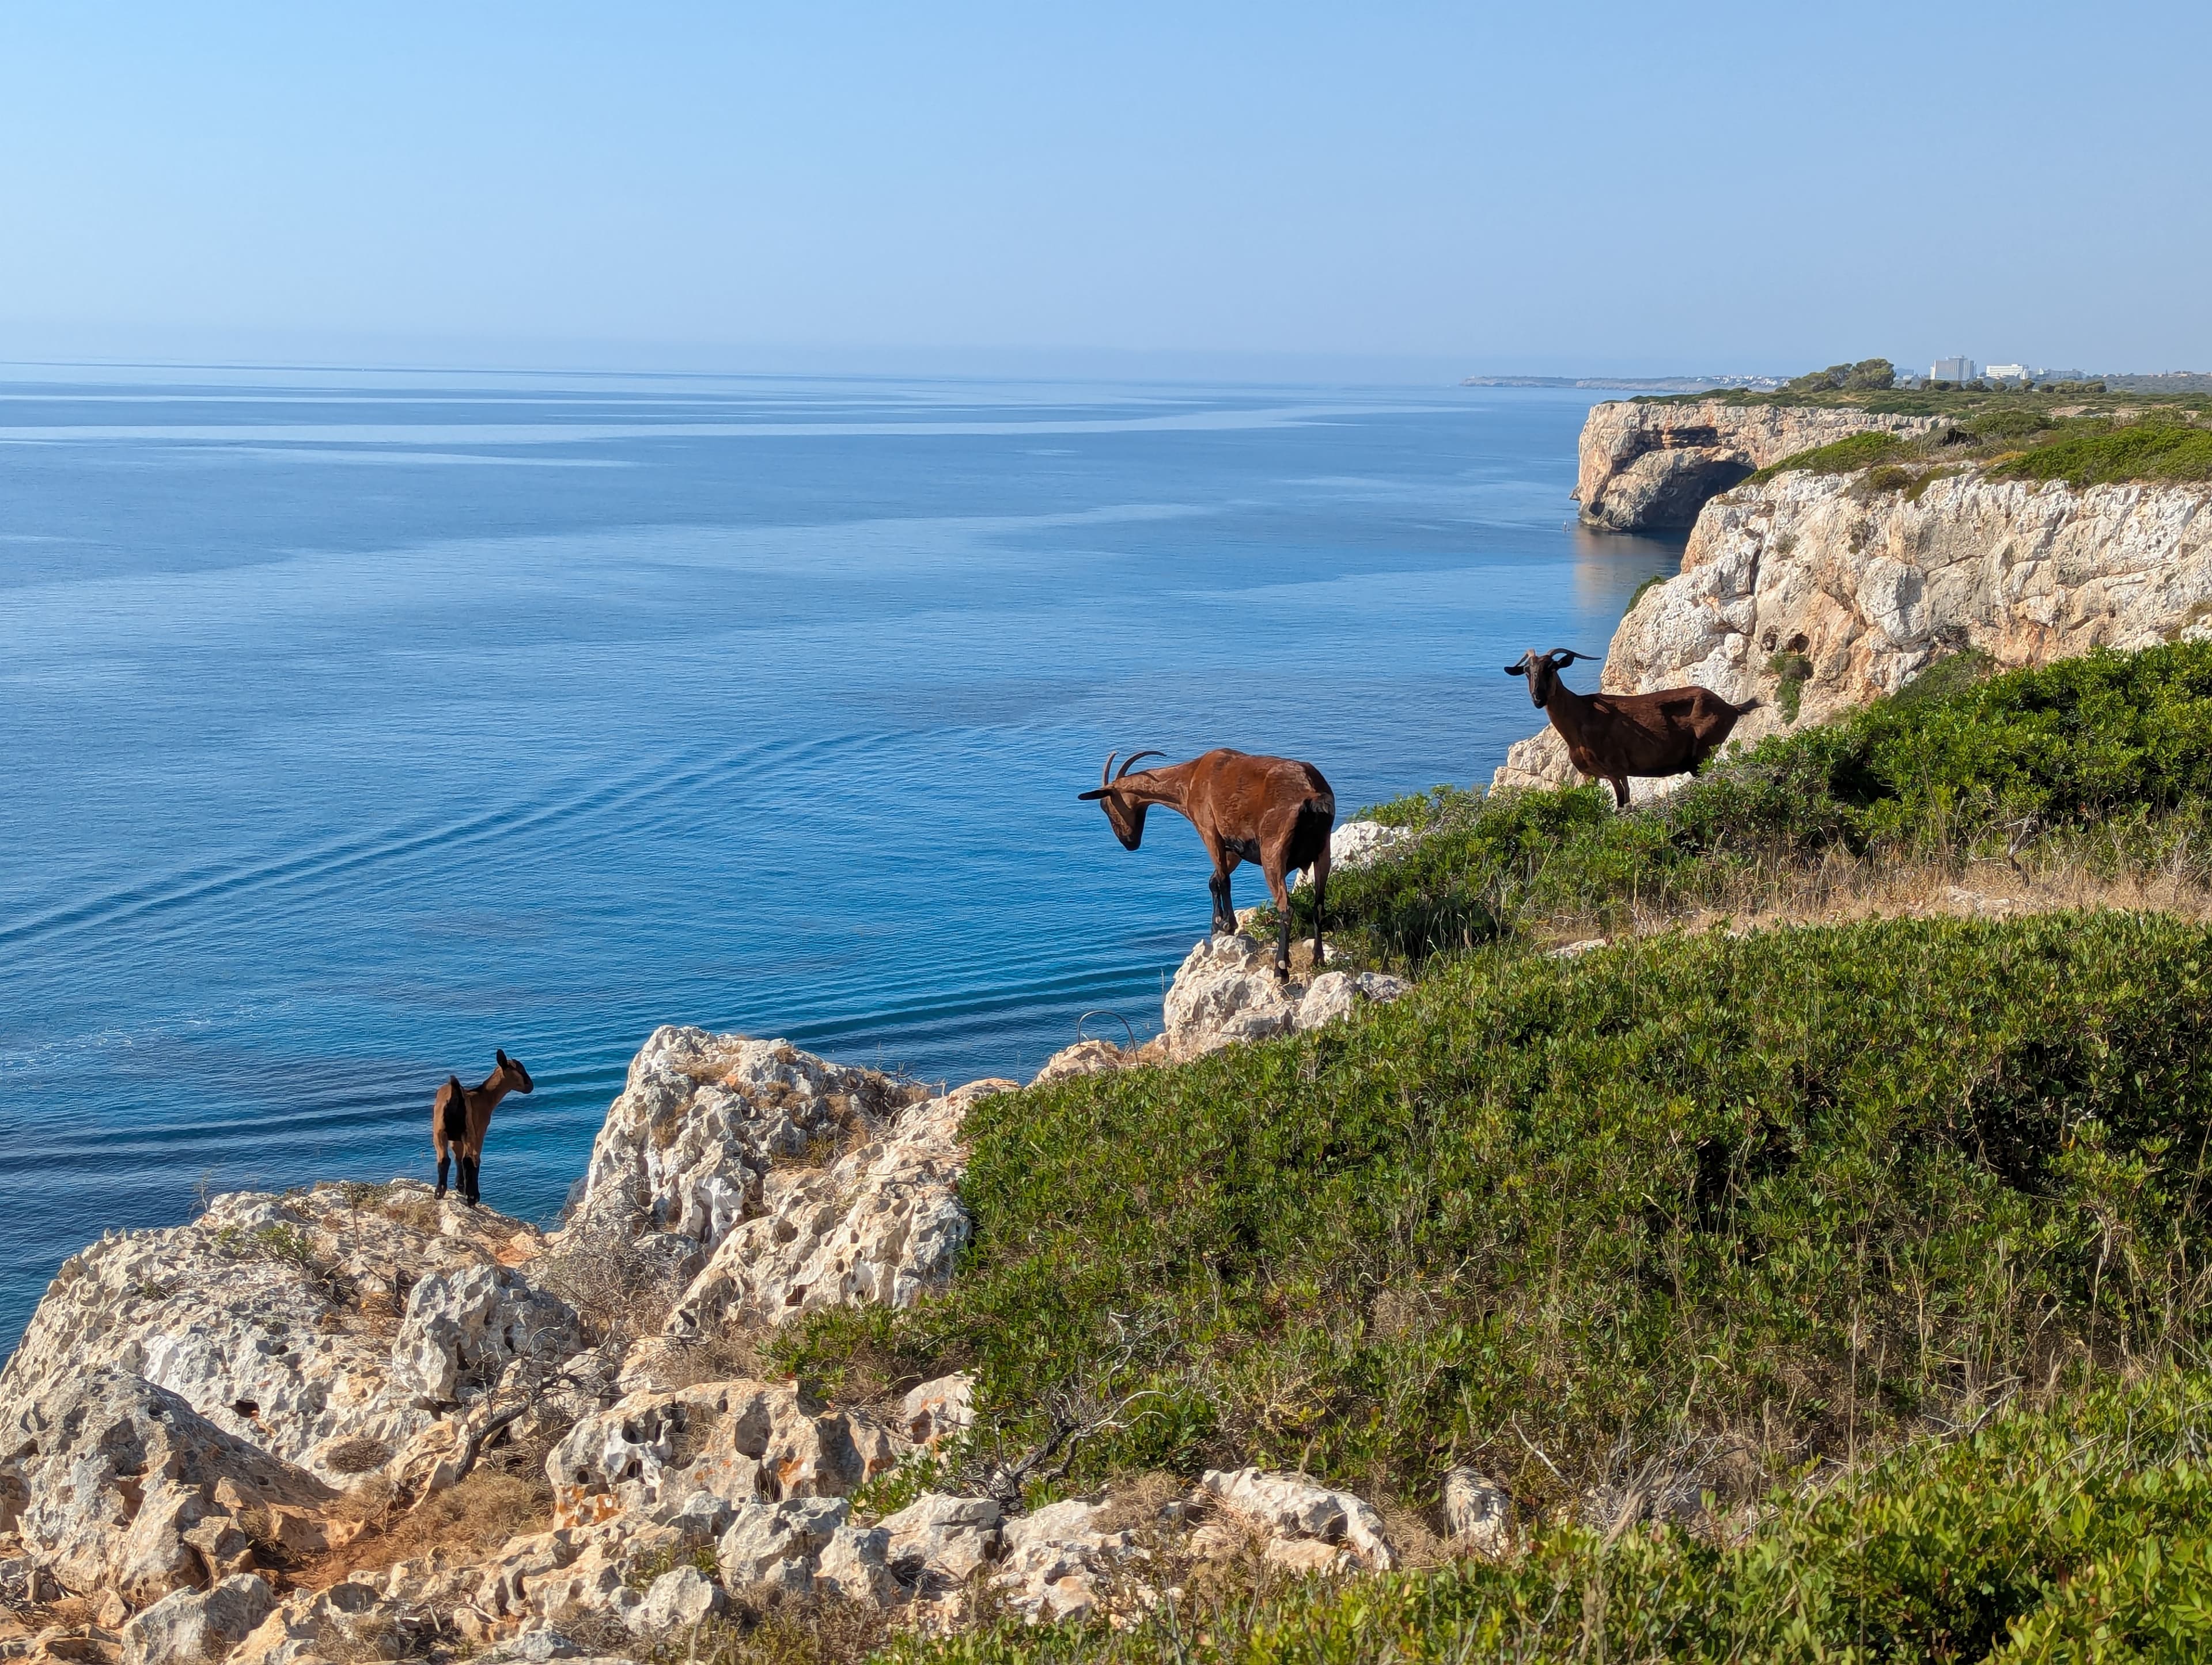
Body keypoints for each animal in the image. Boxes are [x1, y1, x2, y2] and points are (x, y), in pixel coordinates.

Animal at [432, 1048, 535, 1206]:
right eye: (520, 1071)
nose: (530, 1086)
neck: (484, 1096)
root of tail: (455, 1096)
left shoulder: (455, 1138)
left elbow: (457, 1156)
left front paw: (460, 1186)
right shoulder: (480, 1128)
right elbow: (474, 1159)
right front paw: (471, 1194)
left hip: (439, 1130)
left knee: (444, 1158)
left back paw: (439, 1192)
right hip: (470, 1131)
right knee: (470, 1159)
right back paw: (472, 1198)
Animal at [1080, 748, 1335, 977]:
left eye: (1106, 806)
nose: (1129, 842)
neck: (1190, 779)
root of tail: (1311, 795)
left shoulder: (1210, 831)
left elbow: (1223, 880)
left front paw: (1228, 925)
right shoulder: (1234, 847)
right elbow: (1214, 880)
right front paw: (1217, 925)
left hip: (1272, 853)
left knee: (1286, 907)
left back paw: (1280, 968)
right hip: (1323, 852)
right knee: (1318, 905)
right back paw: (1318, 959)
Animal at [1506, 648, 1759, 808]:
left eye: (1552, 668)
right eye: (1527, 671)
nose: (1538, 698)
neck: (1582, 717)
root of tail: (1731, 708)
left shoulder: (1617, 768)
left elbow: (1622, 804)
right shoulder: (1591, 775)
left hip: (1704, 750)